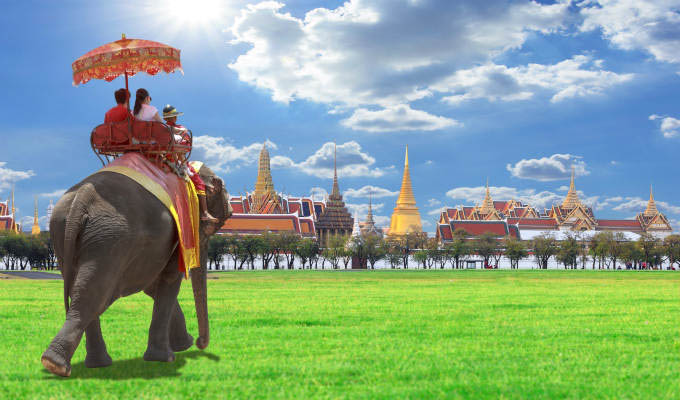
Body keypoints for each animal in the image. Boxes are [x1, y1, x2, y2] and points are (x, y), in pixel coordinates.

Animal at [40, 164, 231, 376]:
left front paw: (182, 345)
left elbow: (153, 286)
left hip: (67, 233)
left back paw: (94, 364)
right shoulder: (179, 229)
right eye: (217, 222)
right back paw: (56, 364)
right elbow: (170, 279)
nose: (199, 342)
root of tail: (83, 195)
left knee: (84, 291)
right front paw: (166, 357)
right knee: (92, 296)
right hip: (111, 239)